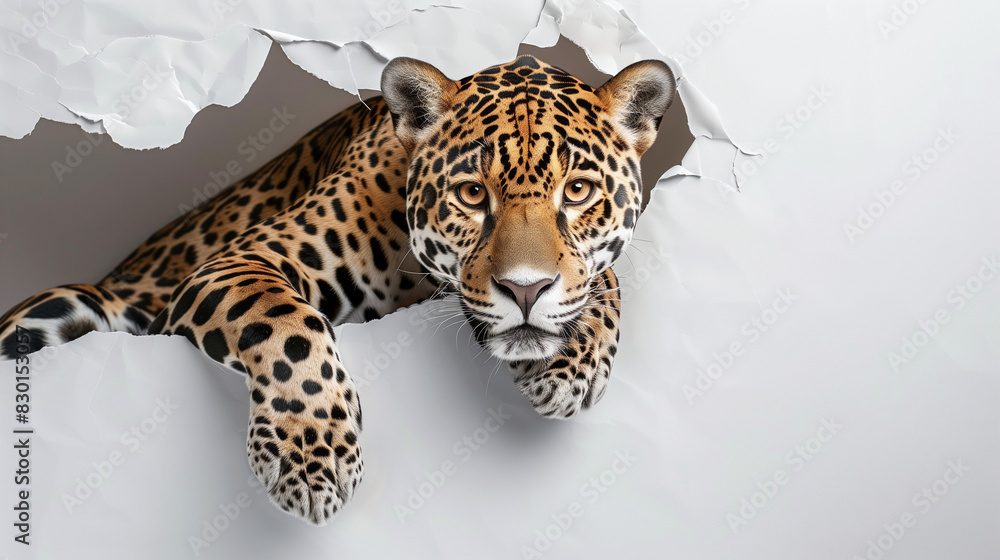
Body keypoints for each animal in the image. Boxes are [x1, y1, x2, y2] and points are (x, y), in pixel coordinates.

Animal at [0, 55, 675, 525]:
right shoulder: (238, 260)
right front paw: (311, 459)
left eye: (578, 192)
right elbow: (288, 327)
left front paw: (571, 364)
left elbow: (601, 274)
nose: (524, 290)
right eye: (471, 194)